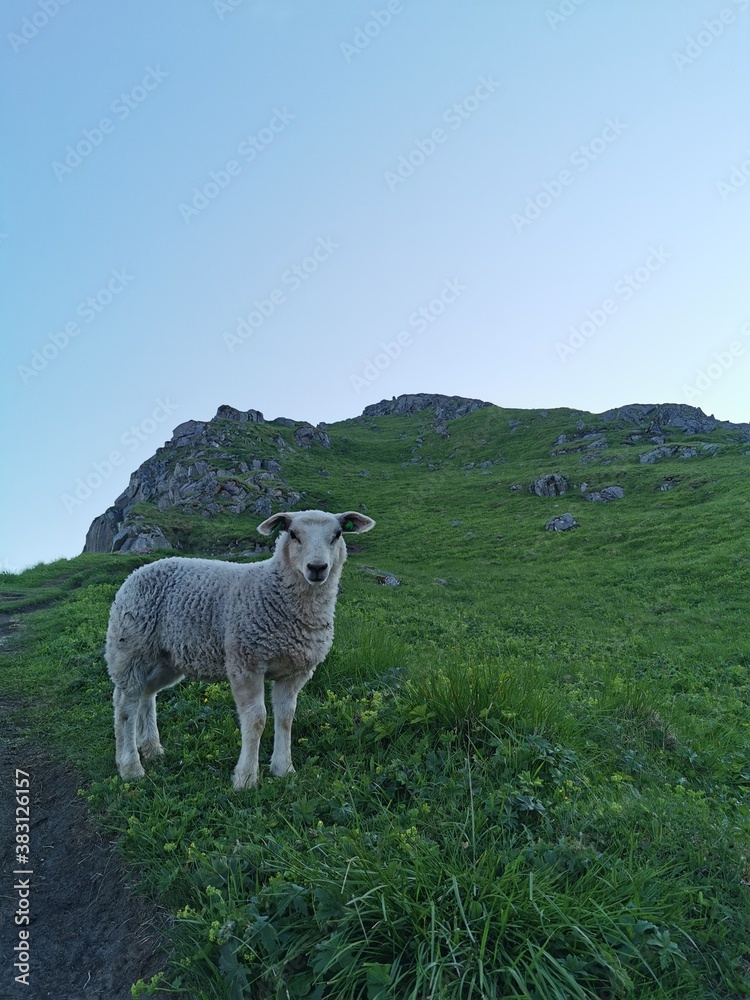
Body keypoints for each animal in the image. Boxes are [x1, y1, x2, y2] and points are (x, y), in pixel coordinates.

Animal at [105, 509, 375, 789]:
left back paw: (151, 748)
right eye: (293, 534)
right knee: (125, 705)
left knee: (146, 694)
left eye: (338, 534)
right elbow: (256, 719)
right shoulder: (246, 663)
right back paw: (130, 766)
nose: (317, 568)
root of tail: (140, 570)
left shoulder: (295, 671)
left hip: (167, 658)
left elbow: (286, 717)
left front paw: (284, 768)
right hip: (131, 647)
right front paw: (246, 778)